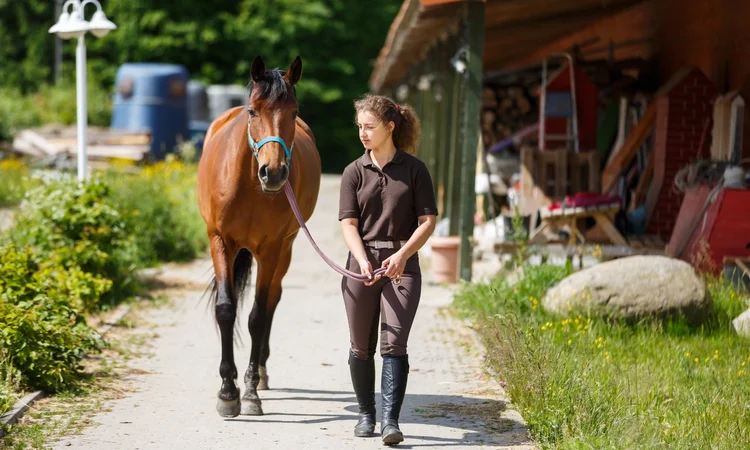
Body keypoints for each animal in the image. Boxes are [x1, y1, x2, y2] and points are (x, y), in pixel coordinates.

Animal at [196, 55, 321, 417]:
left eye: (293, 112)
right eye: (253, 111)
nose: (274, 173)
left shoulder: (270, 248)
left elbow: (257, 316)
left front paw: (249, 392)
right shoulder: (220, 241)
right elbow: (226, 310)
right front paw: (227, 392)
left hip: (286, 249)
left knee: (272, 301)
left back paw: (262, 374)